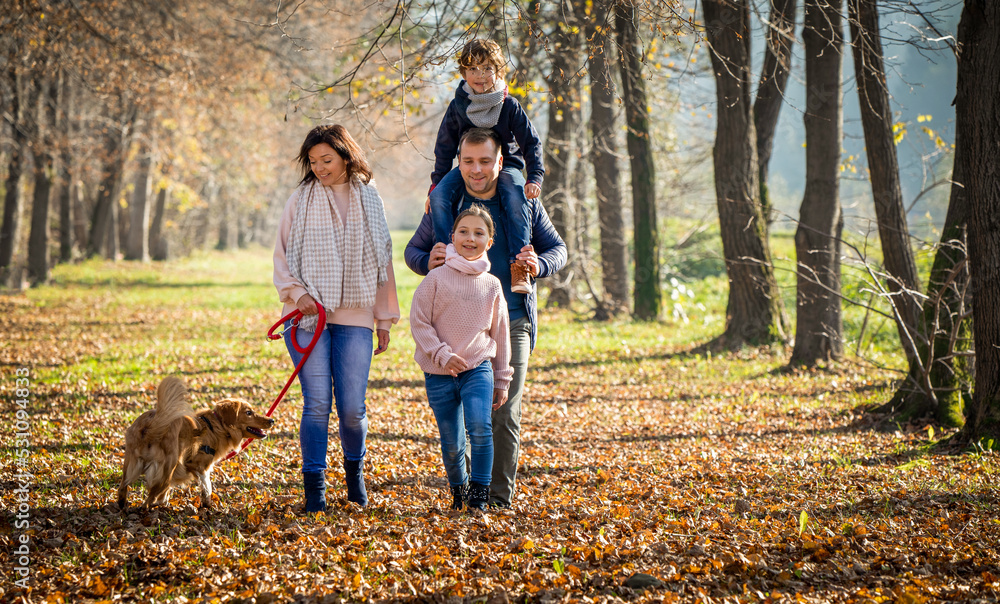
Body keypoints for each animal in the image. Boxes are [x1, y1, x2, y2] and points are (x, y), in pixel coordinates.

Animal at [116, 378, 274, 510]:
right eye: (248, 412)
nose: (272, 420)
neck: (217, 427)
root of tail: (153, 425)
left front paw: (163, 501)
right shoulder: (200, 466)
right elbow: (207, 487)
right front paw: (207, 505)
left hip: (130, 463)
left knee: (123, 488)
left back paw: (123, 505)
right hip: (169, 466)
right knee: (150, 498)